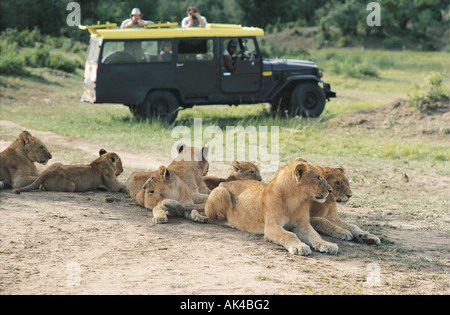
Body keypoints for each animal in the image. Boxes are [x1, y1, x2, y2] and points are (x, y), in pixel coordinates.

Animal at [204, 158, 338, 256]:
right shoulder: (271, 226)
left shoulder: (302, 224)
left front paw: (328, 244)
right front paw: (299, 246)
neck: (295, 200)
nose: (330, 190)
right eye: (318, 178)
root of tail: (224, 182)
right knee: (215, 219)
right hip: (221, 192)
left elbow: (315, 235)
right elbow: (289, 235)